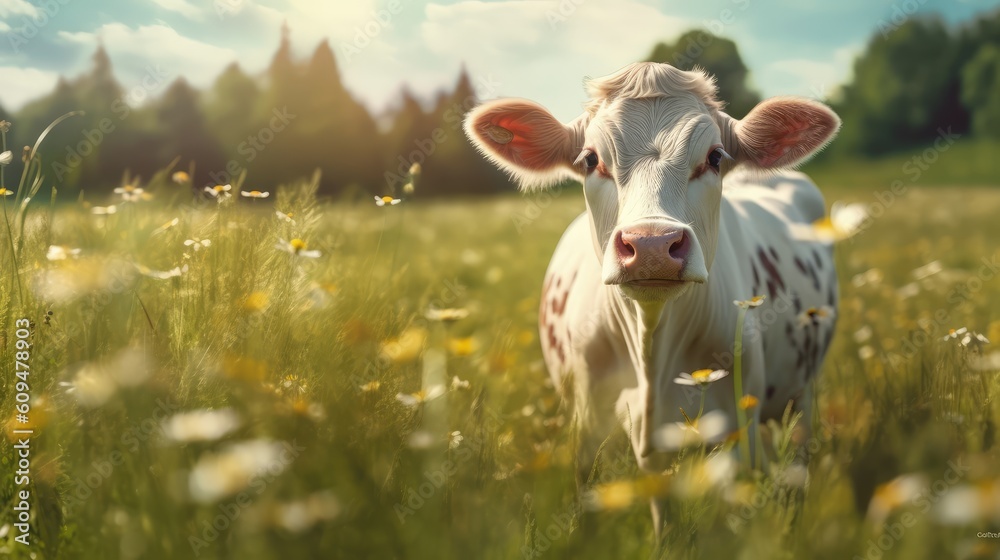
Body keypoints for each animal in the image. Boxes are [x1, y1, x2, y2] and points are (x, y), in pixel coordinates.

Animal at [464, 61, 840, 524]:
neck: (652, 352)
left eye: (715, 157)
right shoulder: (587, 429)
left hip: (803, 396)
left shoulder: (737, 430)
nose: (651, 245)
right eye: (590, 160)